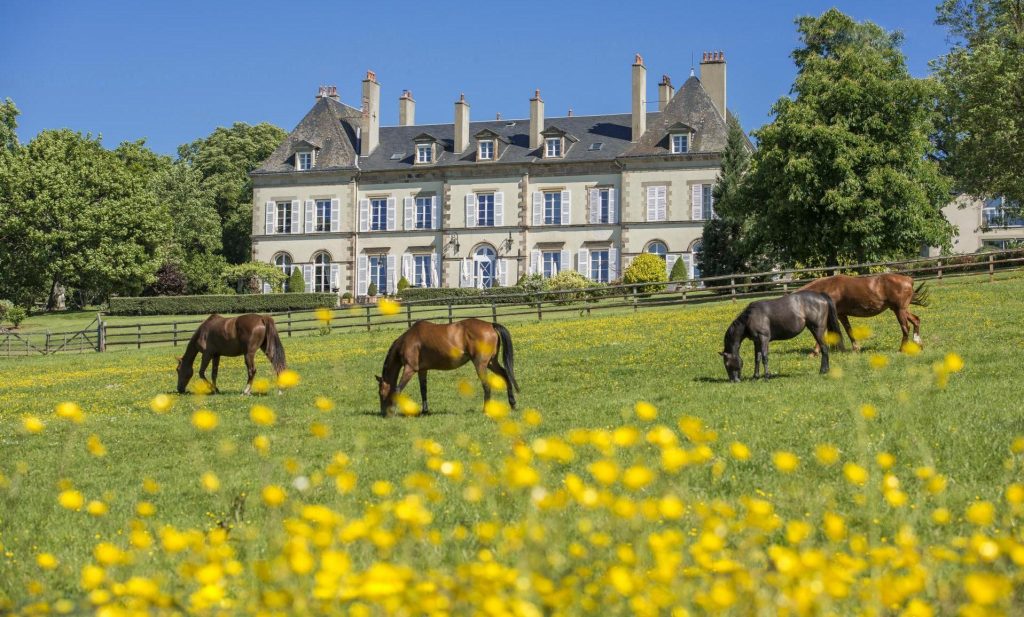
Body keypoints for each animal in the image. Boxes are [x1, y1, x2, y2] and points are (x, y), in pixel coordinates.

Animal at [376, 321, 520, 417]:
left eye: (380, 392)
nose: (383, 413)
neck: (409, 340)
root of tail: (490, 325)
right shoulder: (422, 370)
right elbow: (423, 390)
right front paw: (425, 411)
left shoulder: (410, 369)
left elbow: (397, 389)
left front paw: (392, 411)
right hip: (491, 362)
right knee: (505, 375)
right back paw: (512, 404)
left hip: (481, 365)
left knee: (487, 386)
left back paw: (486, 410)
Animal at [802, 274, 933, 351]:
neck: (829, 287)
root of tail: (908, 280)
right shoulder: (841, 315)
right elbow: (848, 330)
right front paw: (853, 348)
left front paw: (815, 352)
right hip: (901, 310)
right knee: (916, 320)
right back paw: (918, 344)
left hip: (899, 310)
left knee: (906, 327)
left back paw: (902, 349)